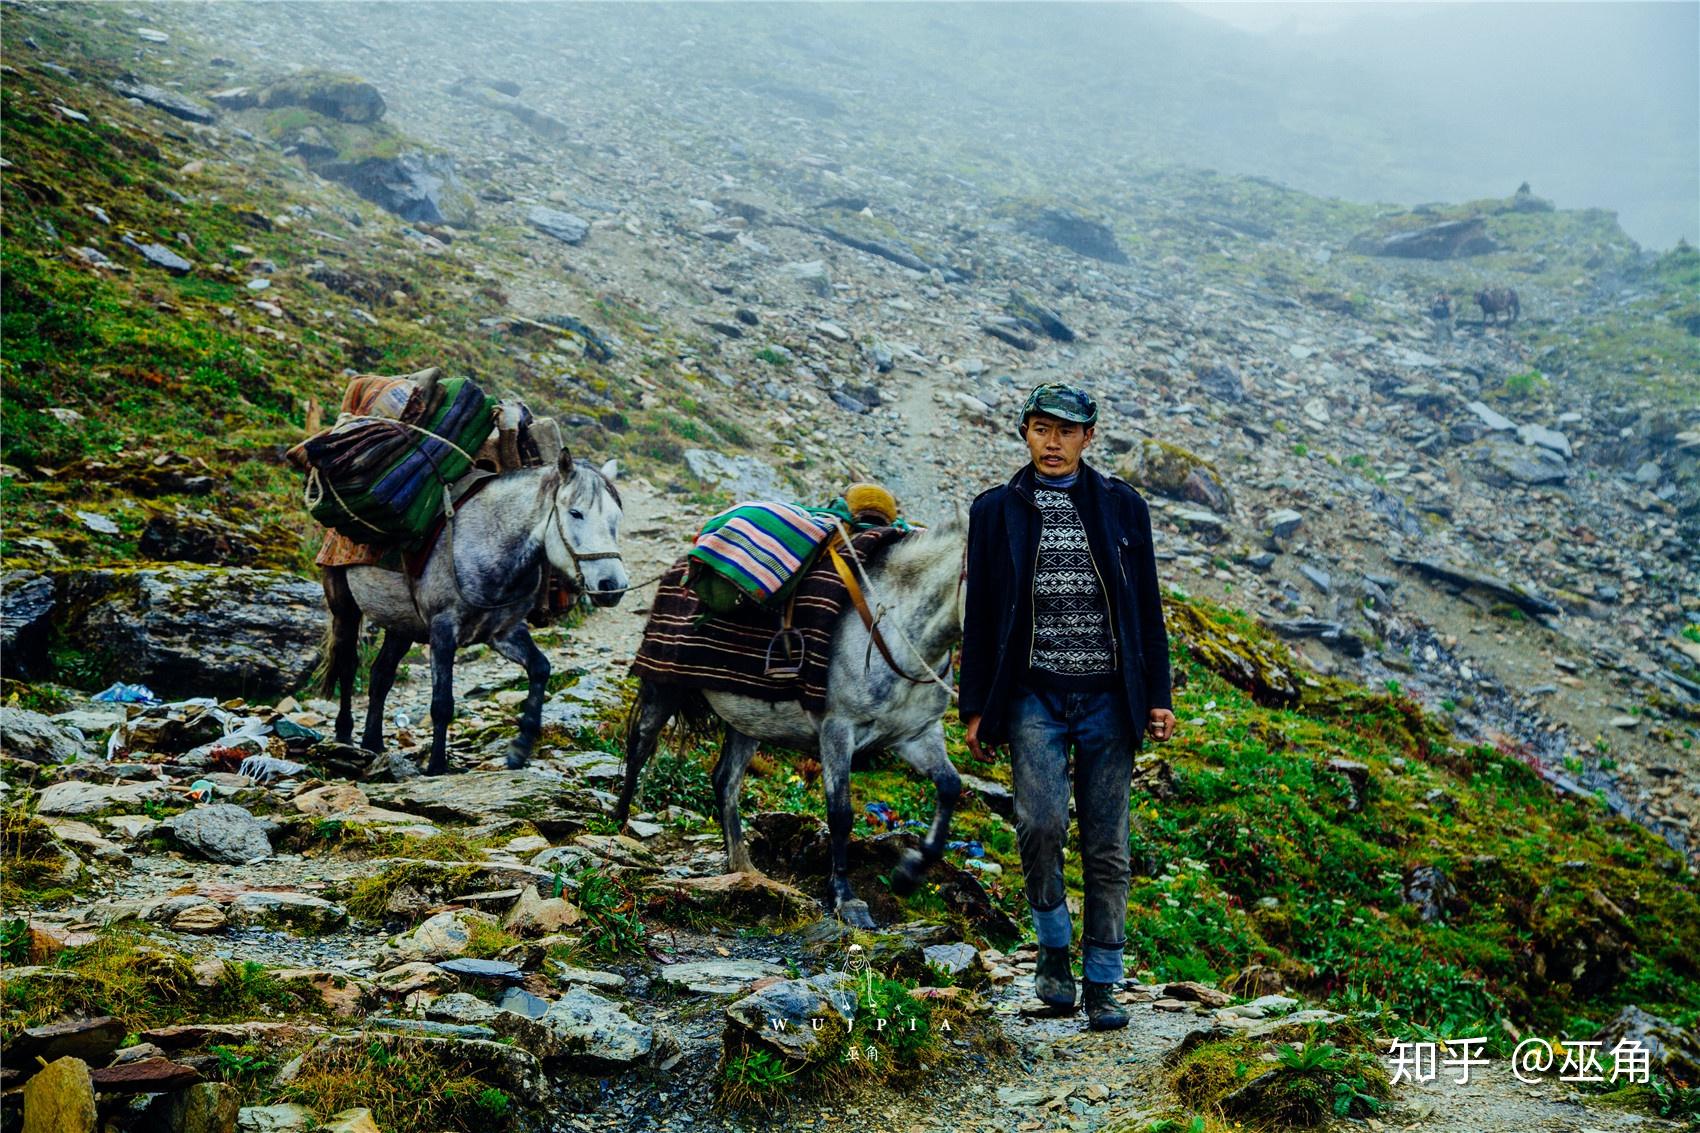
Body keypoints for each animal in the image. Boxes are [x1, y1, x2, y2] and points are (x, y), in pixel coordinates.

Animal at [321, 445, 629, 772]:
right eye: (575, 513)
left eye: (616, 518)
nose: (613, 585)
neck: (488, 541)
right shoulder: (444, 631)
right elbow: (442, 704)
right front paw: (437, 767)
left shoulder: (504, 632)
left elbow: (540, 668)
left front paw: (520, 748)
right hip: (344, 608)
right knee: (348, 665)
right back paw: (345, 736)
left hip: (401, 625)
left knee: (381, 675)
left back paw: (373, 743)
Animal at [622, 510, 972, 925]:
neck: (897, 630)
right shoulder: (837, 730)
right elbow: (840, 814)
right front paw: (846, 898)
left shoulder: (918, 734)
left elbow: (950, 787)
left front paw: (907, 874)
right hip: (665, 686)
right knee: (639, 748)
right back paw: (618, 827)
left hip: (747, 717)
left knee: (725, 781)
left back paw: (744, 868)